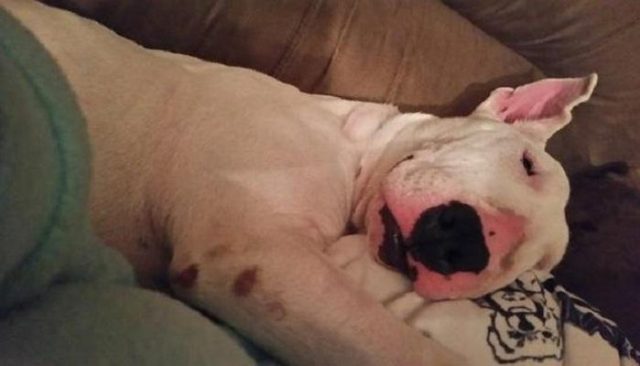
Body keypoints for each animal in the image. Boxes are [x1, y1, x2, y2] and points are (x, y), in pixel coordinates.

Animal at [2, 1, 596, 364]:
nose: (466, 247)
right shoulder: (255, 257)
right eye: (526, 163)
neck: (350, 148)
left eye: (536, 268)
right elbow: (405, 349)